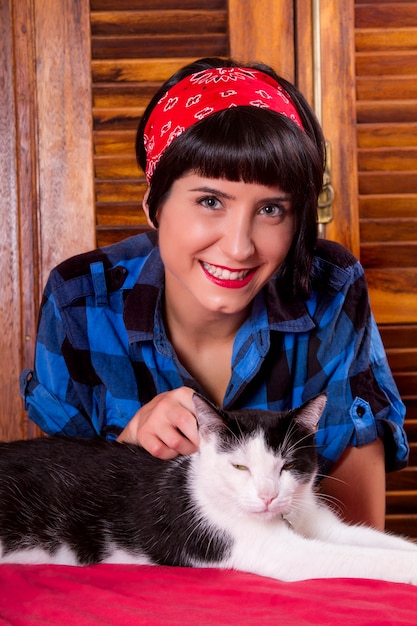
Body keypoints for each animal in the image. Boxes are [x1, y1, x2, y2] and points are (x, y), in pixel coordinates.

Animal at [0, 392, 416, 584]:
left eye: (287, 466)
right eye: (240, 466)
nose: (268, 496)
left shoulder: (323, 524)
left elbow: (375, 541)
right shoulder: (272, 550)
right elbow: (359, 558)